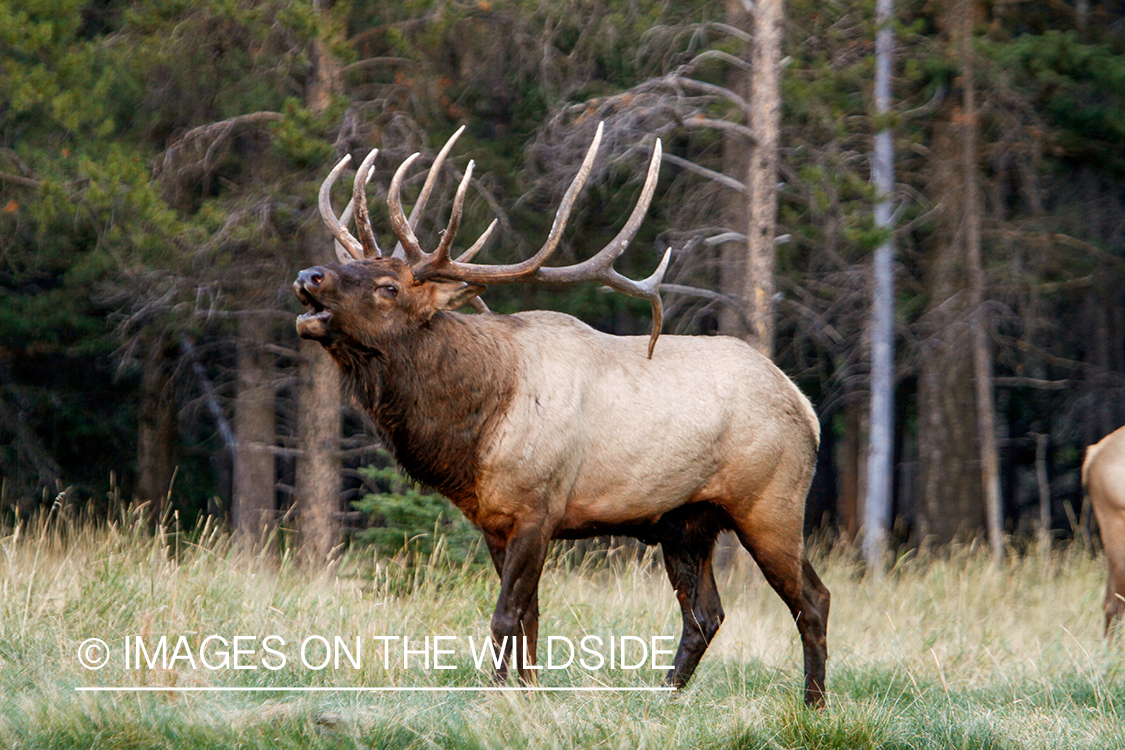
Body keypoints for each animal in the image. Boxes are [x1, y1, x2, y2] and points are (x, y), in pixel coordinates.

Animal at [294, 125, 832, 706]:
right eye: (352, 265)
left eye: (388, 287)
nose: (309, 274)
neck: (474, 432)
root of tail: (807, 408)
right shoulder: (494, 520)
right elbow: (528, 618)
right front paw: (526, 692)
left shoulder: (539, 507)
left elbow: (506, 616)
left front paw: (495, 696)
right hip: (687, 522)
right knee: (705, 614)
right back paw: (663, 696)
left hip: (771, 503)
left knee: (812, 599)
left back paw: (814, 704)